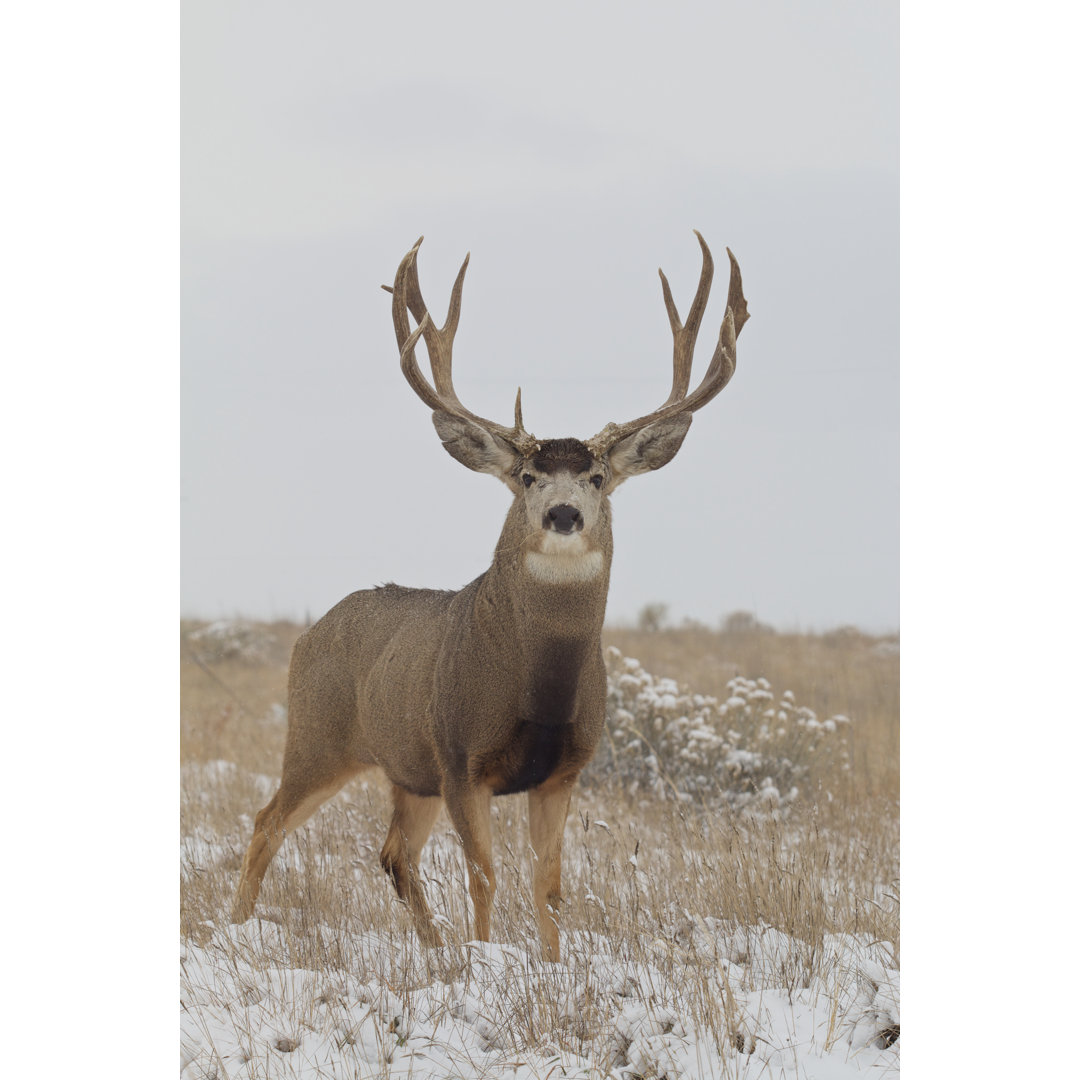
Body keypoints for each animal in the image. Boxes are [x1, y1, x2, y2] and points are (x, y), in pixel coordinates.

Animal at [231, 232, 747, 959]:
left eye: (595, 476)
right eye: (528, 476)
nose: (564, 514)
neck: (538, 683)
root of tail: (309, 633)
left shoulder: (564, 771)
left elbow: (549, 886)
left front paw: (550, 964)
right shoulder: (461, 758)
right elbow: (484, 876)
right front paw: (483, 957)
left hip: (406, 770)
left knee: (393, 853)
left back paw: (432, 947)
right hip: (319, 737)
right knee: (267, 821)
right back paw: (238, 926)